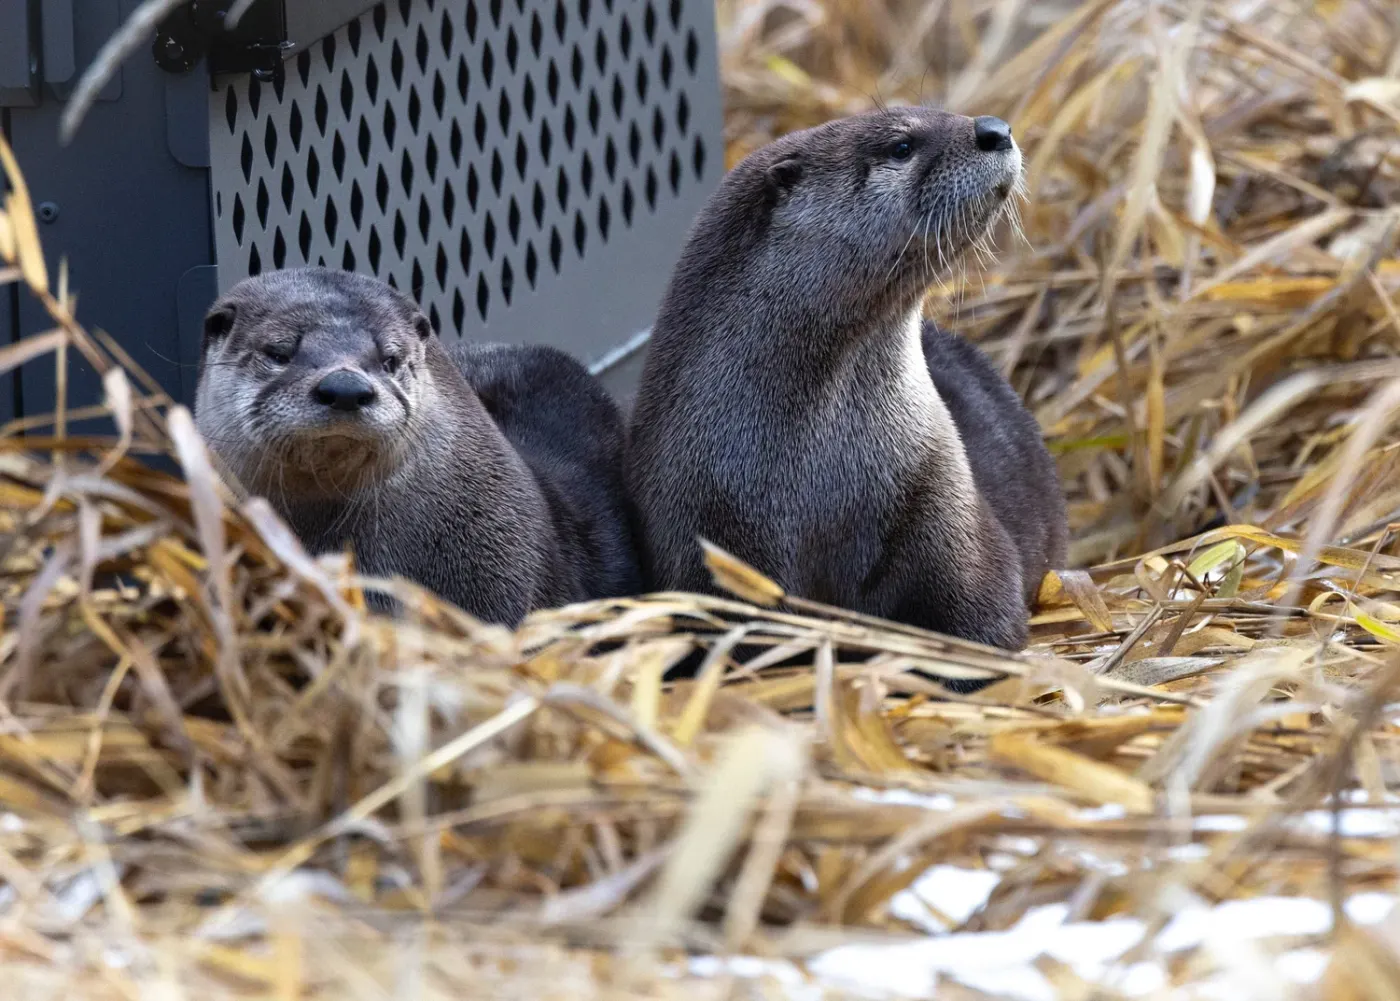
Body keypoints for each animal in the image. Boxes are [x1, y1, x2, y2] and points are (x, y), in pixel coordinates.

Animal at [627, 108, 1068, 673]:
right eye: (901, 145)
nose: (995, 129)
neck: (822, 485)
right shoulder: (703, 542)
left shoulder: (945, 505)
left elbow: (981, 619)